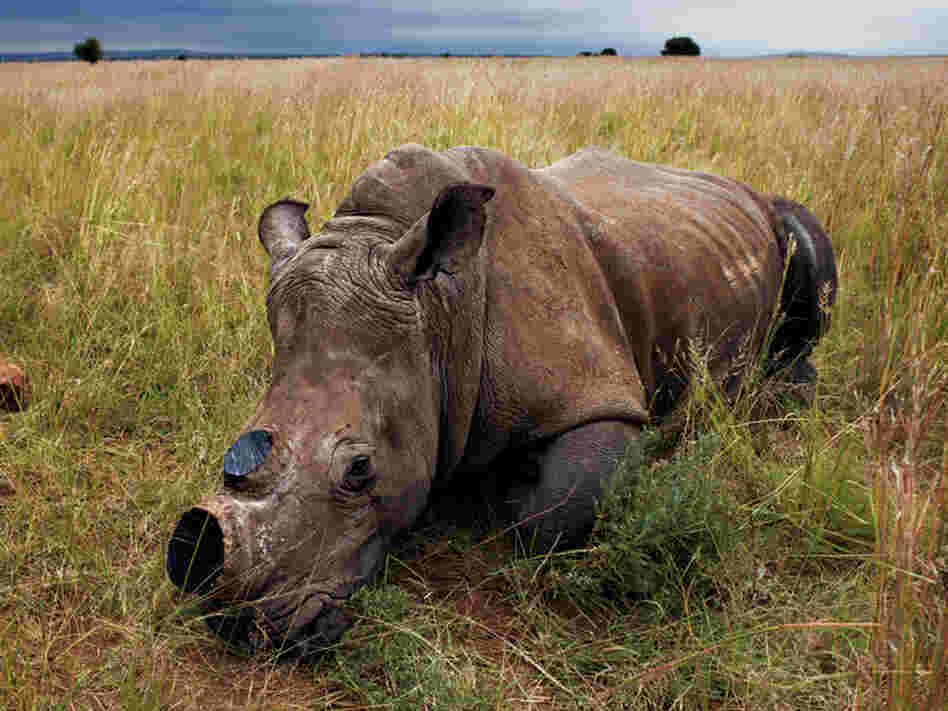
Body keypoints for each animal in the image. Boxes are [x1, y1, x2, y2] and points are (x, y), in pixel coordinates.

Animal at [167, 145, 836, 656]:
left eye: (359, 471)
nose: (236, 622)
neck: (439, 315)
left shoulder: (599, 396)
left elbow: (553, 512)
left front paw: (504, 491)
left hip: (772, 216)